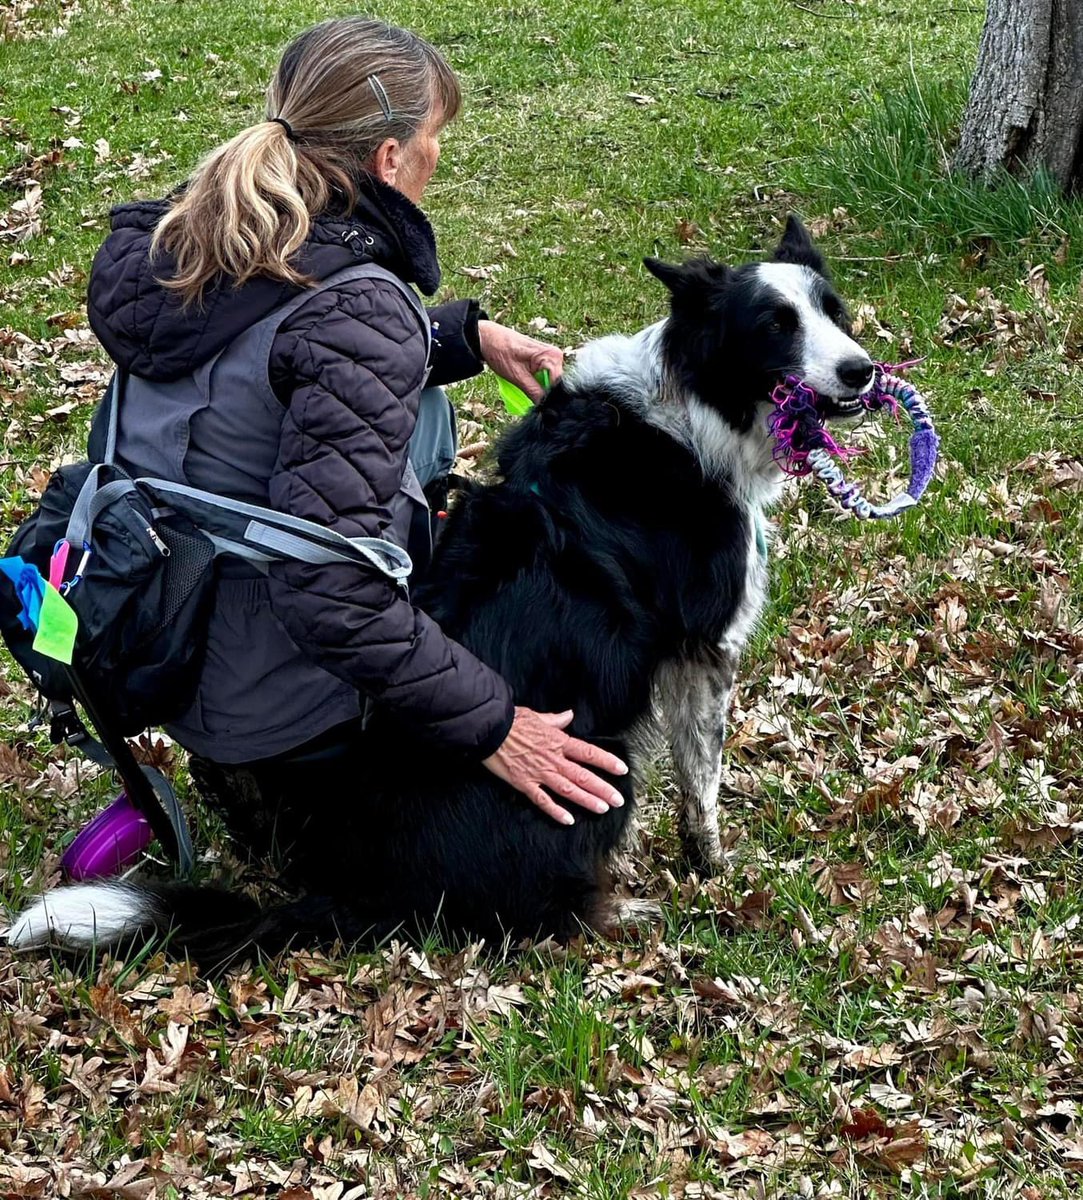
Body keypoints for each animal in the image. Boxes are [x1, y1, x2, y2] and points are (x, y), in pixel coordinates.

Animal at [6, 218, 874, 964]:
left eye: (832, 312)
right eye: (774, 326)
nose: (863, 371)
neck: (688, 402)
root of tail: (360, 892)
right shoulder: (704, 650)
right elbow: (703, 783)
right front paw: (712, 870)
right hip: (605, 764)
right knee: (544, 914)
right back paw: (619, 910)